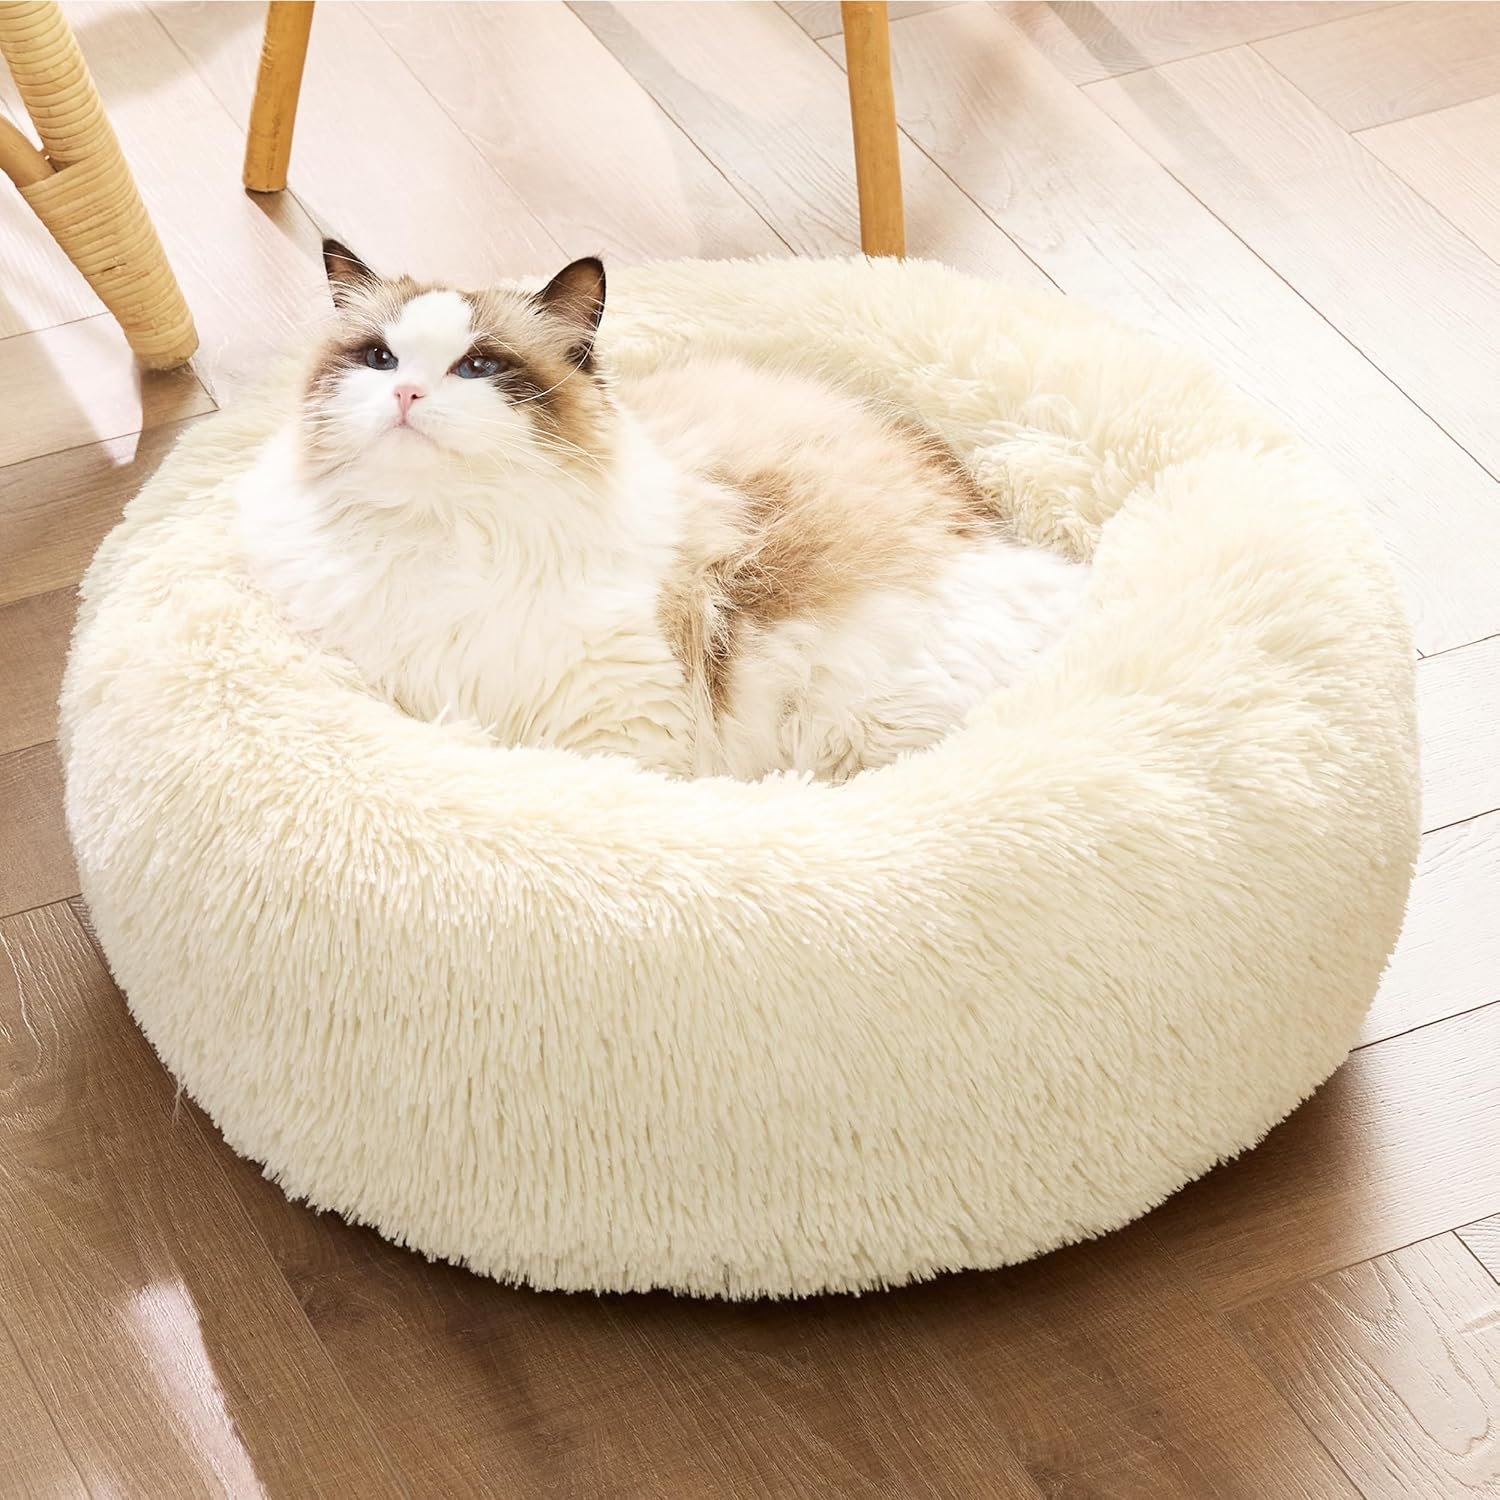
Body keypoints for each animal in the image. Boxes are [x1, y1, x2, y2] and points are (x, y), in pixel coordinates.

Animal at [235, 241, 1087, 783]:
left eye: (477, 368)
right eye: (379, 360)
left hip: (855, 722)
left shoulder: (618, 728)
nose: (407, 394)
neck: (443, 537)